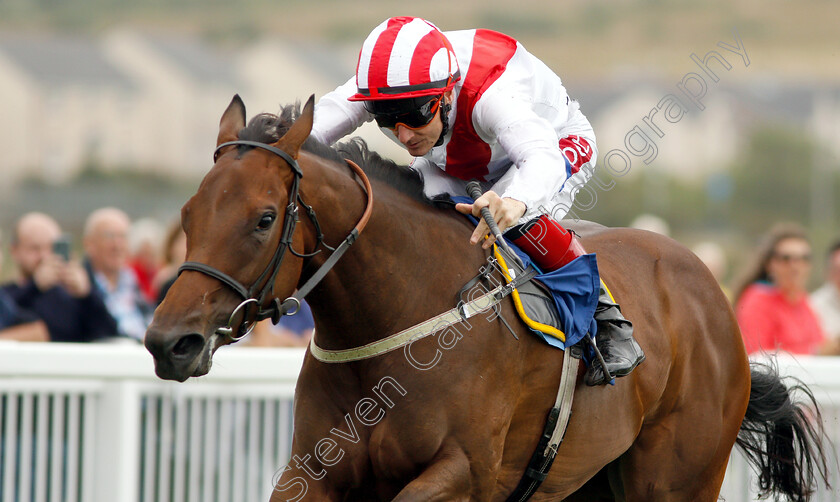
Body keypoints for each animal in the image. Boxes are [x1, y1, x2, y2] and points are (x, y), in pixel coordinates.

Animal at [143, 96, 828, 500]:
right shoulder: (312, 470)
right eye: (188, 213)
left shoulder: (465, 472)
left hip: (676, 477)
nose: (168, 342)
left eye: (263, 220)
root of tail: (706, 286)